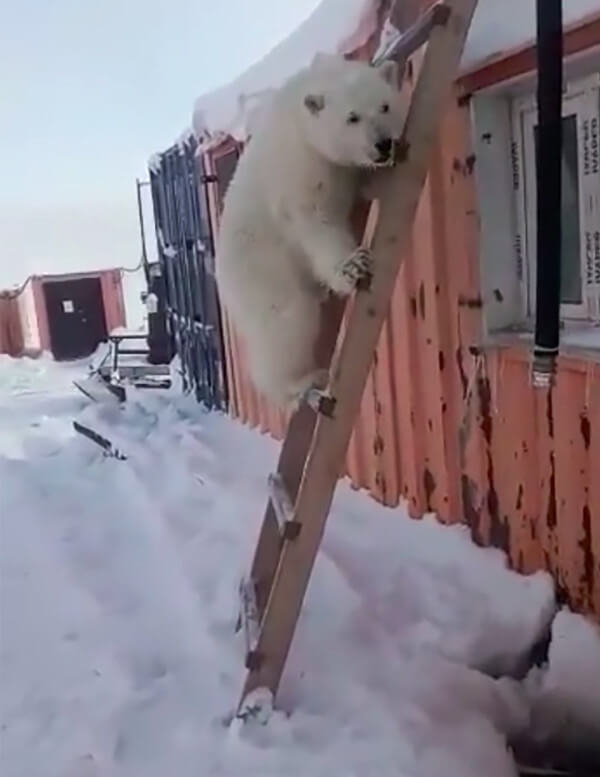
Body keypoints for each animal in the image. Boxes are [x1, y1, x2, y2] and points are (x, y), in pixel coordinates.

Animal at [215, 53, 407, 409]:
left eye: (385, 106)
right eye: (352, 117)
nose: (383, 144)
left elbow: (365, 186)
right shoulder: (300, 170)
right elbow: (316, 222)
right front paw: (353, 266)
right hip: (263, 273)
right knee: (288, 322)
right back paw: (301, 383)